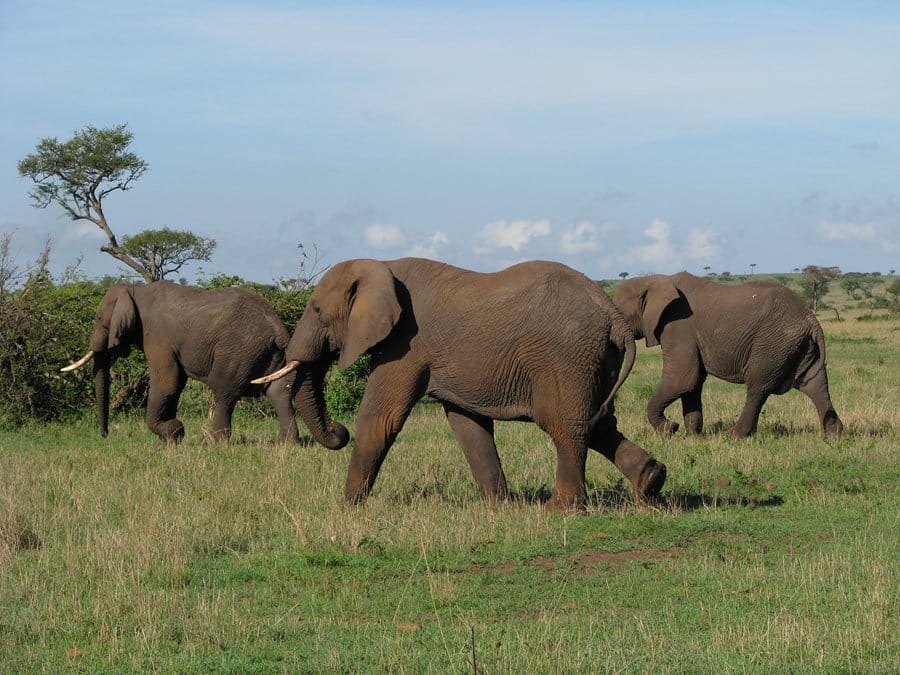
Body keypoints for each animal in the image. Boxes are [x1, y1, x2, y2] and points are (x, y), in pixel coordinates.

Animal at [62, 281, 300, 443]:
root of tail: (277, 327)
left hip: (240, 351)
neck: (135, 289)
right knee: (279, 391)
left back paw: (210, 444)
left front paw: (174, 432)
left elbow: (167, 382)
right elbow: (175, 386)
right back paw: (286, 443)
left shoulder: (157, 336)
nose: (105, 434)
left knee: (224, 392)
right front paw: (168, 442)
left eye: (98, 319)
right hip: (270, 354)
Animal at [253, 257, 667, 512]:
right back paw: (651, 481)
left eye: (317, 310)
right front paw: (500, 508)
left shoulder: (407, 345)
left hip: (565, 357)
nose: (338, 431)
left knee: (566, 426)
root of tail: (613, 316)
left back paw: (560, 510)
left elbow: (380, 419)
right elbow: (468, 426)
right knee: (598, 424)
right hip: (596, 360)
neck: (381, 266)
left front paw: (348, 508)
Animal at [613, 272, 844, 439]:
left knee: (758, 387)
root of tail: (810, 319)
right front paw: (691, 437)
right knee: (815, 384)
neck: (656, 279)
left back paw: (734, 435)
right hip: (797, 346)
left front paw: (669, 430)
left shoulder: (678, 327)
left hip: (774, 343)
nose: (673, 426)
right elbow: (692, 383)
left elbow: (682, 379)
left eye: (620, 312)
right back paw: (834, 435)